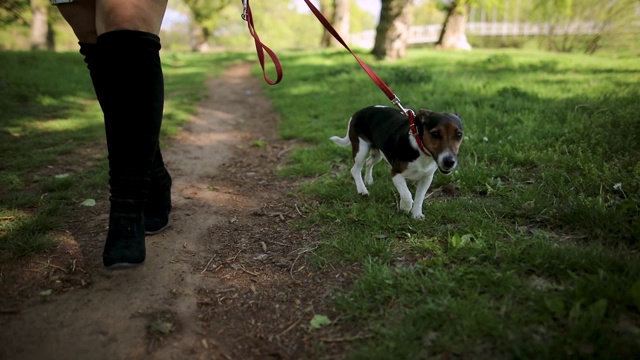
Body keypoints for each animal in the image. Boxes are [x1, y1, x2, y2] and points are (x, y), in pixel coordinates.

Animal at [332, 105, 462, 218]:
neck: (420, 148)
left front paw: (416, 214)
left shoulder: (427, 178)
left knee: (369, 162)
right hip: (361, 149)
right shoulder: (396, 174)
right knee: (355, 169)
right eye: (435, 134)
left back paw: (368, 180)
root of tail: (358, 112)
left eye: (459, 134)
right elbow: (407, 195)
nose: (449, 161)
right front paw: (405, 207)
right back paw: (362, 190)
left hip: (378, 153)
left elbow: (419, 197)